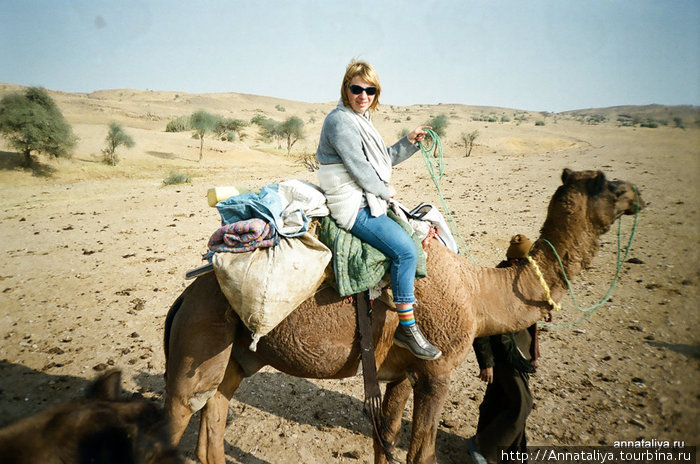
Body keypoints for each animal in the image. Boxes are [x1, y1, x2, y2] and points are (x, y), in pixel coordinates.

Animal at [161, 169, 644, 464]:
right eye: (607, 185)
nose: (638, 193)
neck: (476, 292)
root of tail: (183, 298)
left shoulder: (400, 374)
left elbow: (387, 439)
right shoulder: (437, 372)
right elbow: (421, 453)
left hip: (236, 356)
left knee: (216, 407)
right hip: (197, 343)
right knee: (181, 411)